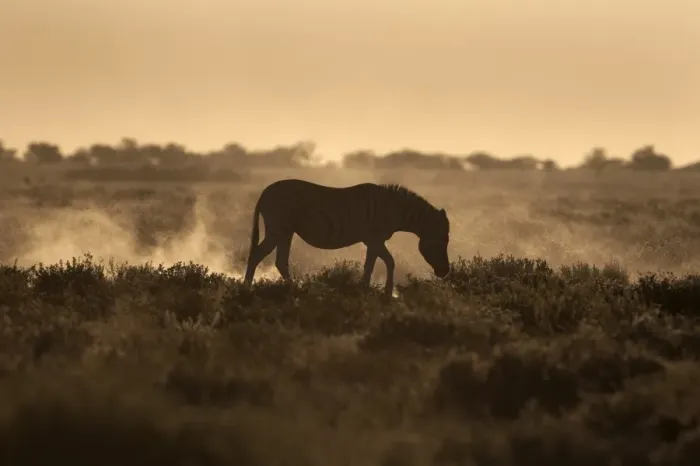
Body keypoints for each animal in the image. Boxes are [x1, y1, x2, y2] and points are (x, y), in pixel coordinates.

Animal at [243, 179, 451, 295]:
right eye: (442, 242)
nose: (445, 272)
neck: (394, 209)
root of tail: (264, 192)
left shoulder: (373, 241)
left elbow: (370, 265)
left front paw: (364, 289)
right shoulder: (375, 239)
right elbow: (389, 261)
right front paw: (386, 292)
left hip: (286, 232)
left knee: (280, 261)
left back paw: (295, 289)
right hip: (278, 229)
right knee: (257, 255)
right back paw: (246, 289)